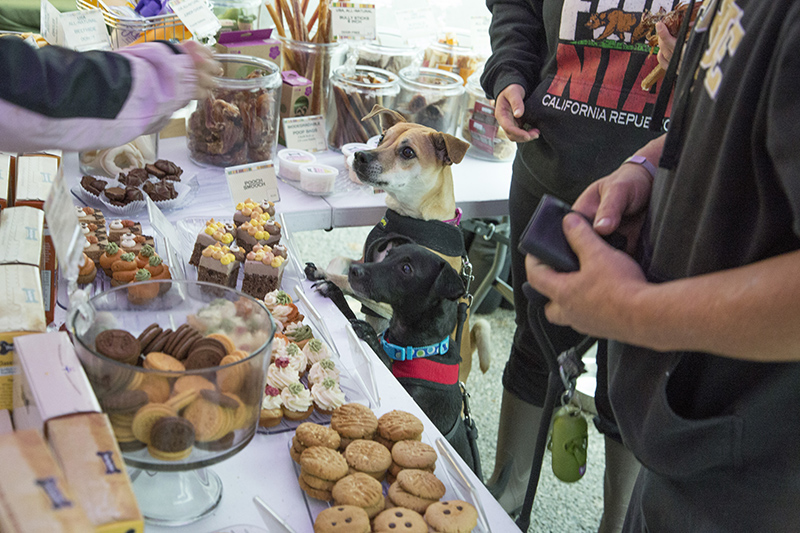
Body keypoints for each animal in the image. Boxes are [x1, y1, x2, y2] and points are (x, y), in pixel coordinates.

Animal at [310, 105, 488, 378]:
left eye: (407, 152)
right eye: (382, 138)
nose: (360, 156)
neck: (410, 218)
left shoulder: (390, 302)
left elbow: (350, 282)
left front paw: (325, 276)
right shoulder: (363, 261)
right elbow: (340, 261)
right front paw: (328, 270)